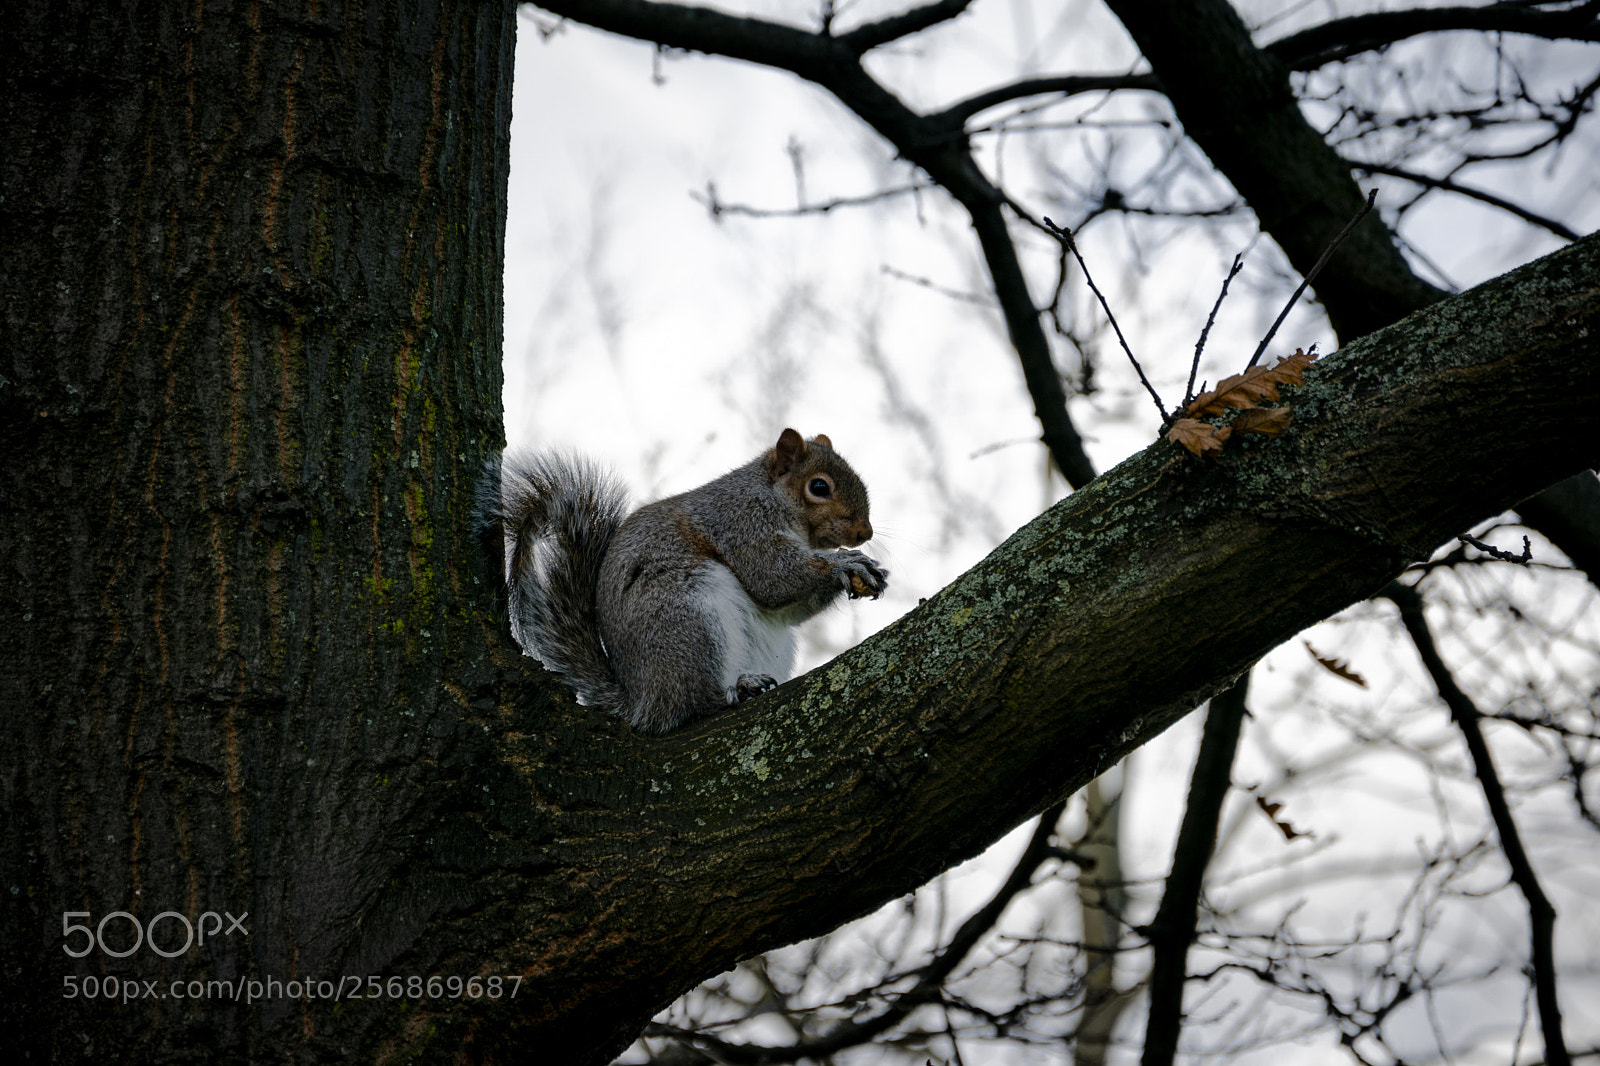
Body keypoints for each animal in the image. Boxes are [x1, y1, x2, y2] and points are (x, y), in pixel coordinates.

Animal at [479, 428, 888, 733]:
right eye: (819, 487)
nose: (864, 532)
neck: (770, 496)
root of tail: (641, 699)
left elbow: (788, 606)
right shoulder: (741, 524)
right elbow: (772, 578)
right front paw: (846, 563)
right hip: (688, 622)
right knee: (693, 704)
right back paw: (735, 690)